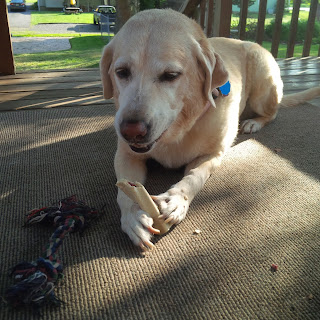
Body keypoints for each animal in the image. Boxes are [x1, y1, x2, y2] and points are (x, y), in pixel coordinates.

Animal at [101, 8, 320, 250]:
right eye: (122, 72)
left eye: (170, 75)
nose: (131, 131)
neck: (177, 132)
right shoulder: (126, 154)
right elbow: (125, 190)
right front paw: (133, 216)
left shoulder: (212, 155)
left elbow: (195, 176)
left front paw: (176, 199)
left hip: (263, 88)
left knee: (273, 112)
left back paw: (254, 122)